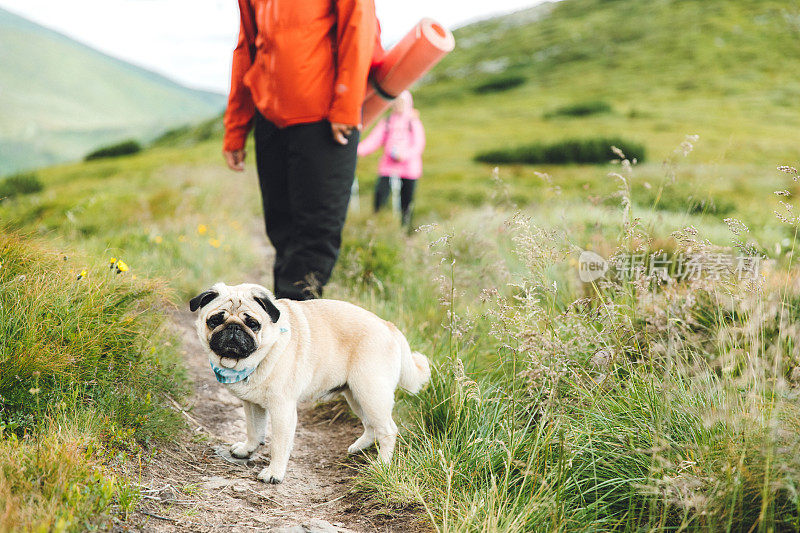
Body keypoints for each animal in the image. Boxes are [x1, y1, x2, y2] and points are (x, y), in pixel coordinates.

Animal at [191, 282, 432, 482]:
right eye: (215, 320)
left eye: (252, 323)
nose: (233, 327)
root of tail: (389, 326)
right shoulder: (252, 405)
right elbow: (254, 430)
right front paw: (247, 449)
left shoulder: (282, 410)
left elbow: (278, 445)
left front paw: (274, 473)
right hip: (357, 396)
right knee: (371, 426)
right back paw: (358, 447)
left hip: (371, 393)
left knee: (388, 429)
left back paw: (381, 464)